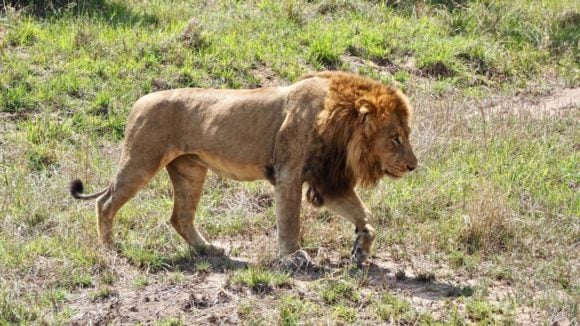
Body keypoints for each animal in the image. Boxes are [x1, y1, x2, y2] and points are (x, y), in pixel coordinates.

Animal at [70, 70, 416, 264]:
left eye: (405, 135)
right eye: (395, 138)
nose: (413, 166)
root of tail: (138, 102)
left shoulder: (328, 180)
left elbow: (364, 215)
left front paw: (361, 248)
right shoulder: (289, 174)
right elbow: (290, 220)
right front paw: (293, 258)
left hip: (190, 171)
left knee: (180, 217)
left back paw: (209, 249)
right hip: (141, 160)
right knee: (105, 202)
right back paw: (110, 248)